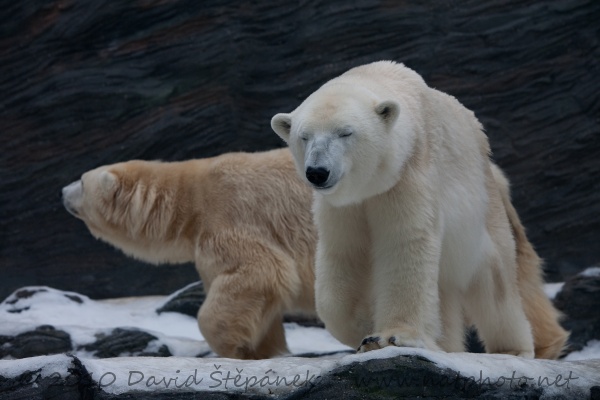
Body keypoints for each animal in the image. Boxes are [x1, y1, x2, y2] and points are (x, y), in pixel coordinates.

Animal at [61, 148, 318, 360]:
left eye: (82, 182)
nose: (62, 191)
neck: (192, 199)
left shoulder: (230, 215)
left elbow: (259, 269)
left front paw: (231, 348)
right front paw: (260, 349)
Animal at [272, 61, 568, 358]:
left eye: (345, 132)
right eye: (304, 137)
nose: (317, 172)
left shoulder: (410, 175)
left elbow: (407, 242)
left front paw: (393, 336)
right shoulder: (344, 206)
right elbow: (345, 254)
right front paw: (364, 324)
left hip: (482, 210)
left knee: (495, 282)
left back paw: (513, 349)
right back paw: (445, 345)